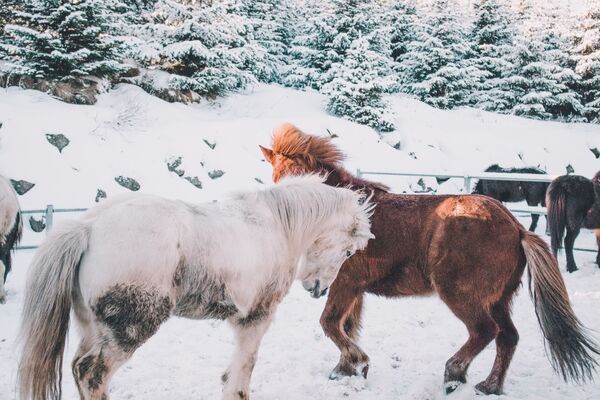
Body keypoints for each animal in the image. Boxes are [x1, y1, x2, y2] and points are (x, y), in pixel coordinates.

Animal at [17, 177, 376, 400]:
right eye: (347, 251)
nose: (318, 289)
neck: (276, 225)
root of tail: (88, 228)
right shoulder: (256, 319)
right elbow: (243, 372)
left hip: (94, 328)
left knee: (79, 367)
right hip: (128, 330)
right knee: (92, 374)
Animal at [258, 123, 600, 396]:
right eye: (276, 179)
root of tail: (516, 227)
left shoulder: (345, 283)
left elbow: (330, 323)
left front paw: (356, 363)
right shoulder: (353, 288)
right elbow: (347, 326)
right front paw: (347, 370)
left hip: (459, 292)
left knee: (484, 331)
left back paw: (454, 374)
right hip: (499, 299)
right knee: (507, 337)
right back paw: (489, 387)